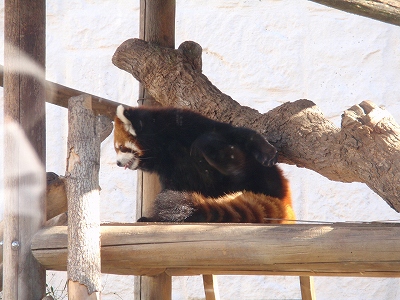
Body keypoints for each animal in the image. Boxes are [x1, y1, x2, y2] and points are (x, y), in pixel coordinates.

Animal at [112, 104, 294, 224]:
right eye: (117, 149)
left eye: (121, 148)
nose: (118, 163)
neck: (165, 146)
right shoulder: (170, 168)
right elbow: (172, 187)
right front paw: (153, 218)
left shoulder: (187, 124)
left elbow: (238, 133)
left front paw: (267, 151)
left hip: (260, 173)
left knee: (208, 142)